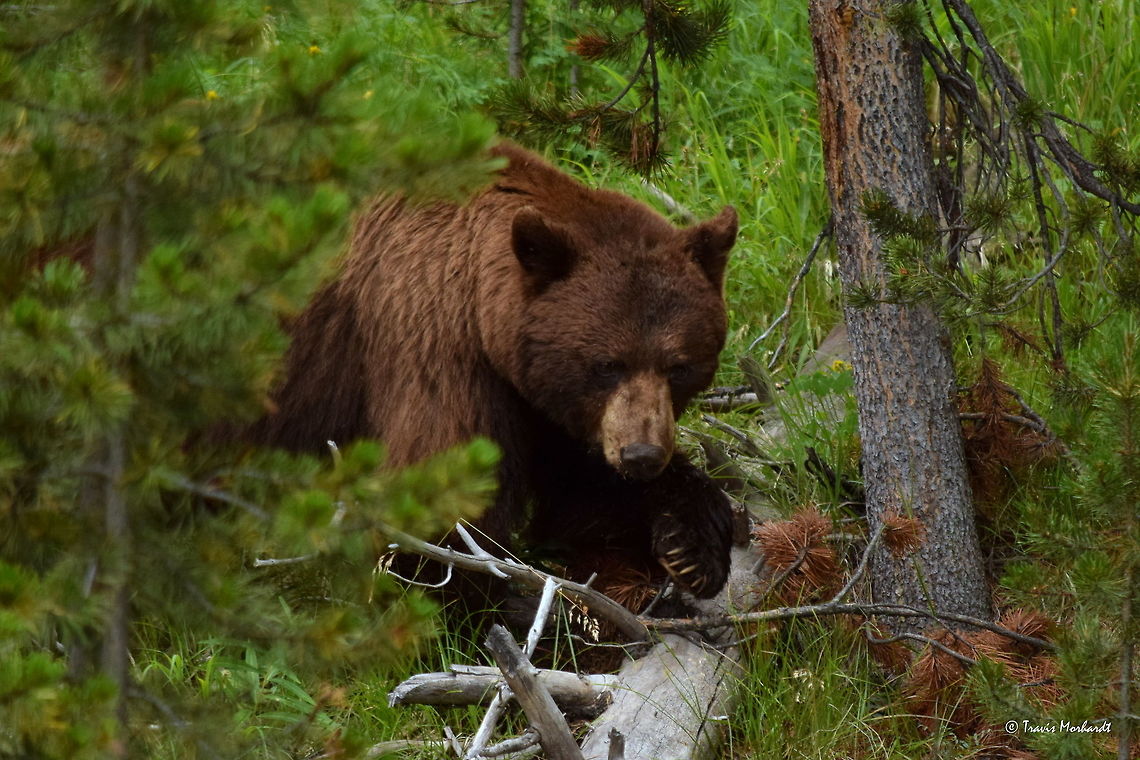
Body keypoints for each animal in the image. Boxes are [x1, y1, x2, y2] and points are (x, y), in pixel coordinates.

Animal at [247, 142, 739, 599]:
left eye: (679, 366)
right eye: (606, 364)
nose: (641, 455)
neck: (483, 307)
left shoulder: (539, 392)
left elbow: (578, 485)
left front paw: (693, 545)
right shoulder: (437, 344)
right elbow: (444, 498)